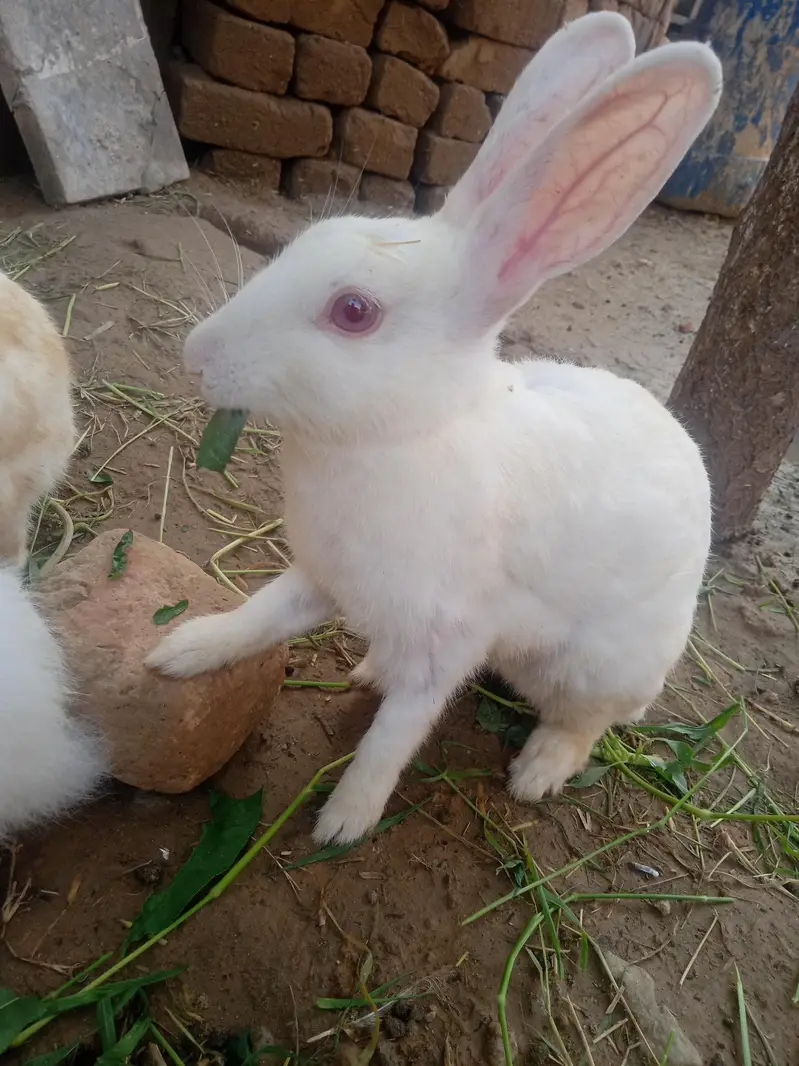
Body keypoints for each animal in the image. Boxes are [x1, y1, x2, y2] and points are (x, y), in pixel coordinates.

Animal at [148, 12, 722, 845]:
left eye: (354, 312)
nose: (197, 356)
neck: (402, 437)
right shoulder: (321, 578)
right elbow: (259, 617)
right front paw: (182, 650)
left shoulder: (444, 644)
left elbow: (392, 739)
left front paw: (342, 823)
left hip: (596, 667)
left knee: (586, 722)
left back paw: (538, 771)